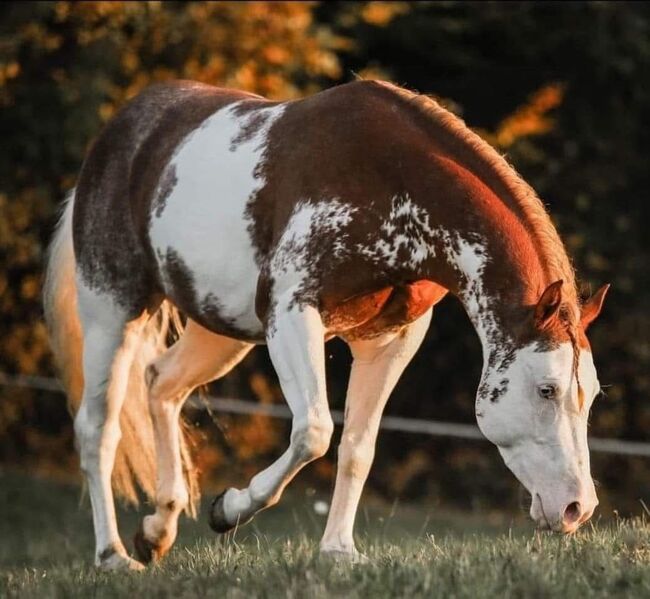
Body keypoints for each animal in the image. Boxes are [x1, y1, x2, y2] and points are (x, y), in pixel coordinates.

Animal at [43, 79, 609, 570]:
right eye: (546, 390)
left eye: (592, 396)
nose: (577, 509)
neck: (395, 181)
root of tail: (116, 137)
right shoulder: (292, 311)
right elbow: (314, 430)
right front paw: (229, 509)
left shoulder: (391, 338)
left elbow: (358, 446)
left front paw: (338, 552)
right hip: (112, 308)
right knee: (98, 426)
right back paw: (113, 556)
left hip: (221, 327)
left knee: (161, 384)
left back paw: (157, 532)